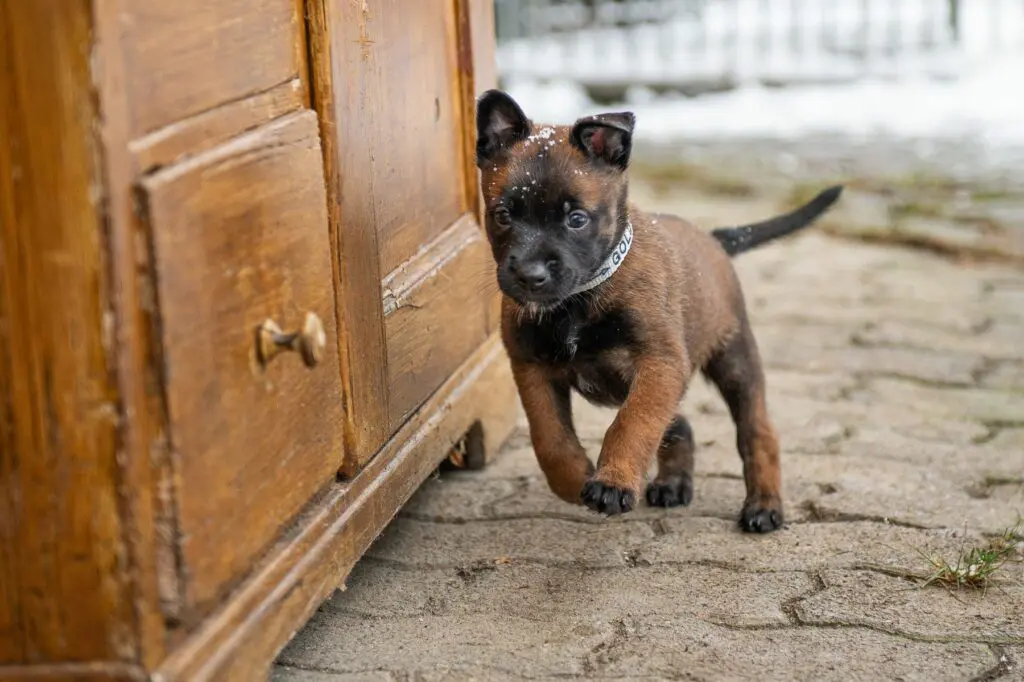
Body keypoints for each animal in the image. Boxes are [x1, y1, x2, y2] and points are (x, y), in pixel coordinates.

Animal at [475, 89, 843, 532]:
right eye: (502, 214)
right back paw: (673, 483)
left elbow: (634, 422)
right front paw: (574, 477)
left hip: (736, 361)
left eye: (576, 219)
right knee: (679, 424)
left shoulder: (659, 363)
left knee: (757, 432)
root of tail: (713, 239)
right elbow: (549, 437)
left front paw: (613, 481)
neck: (581, 300)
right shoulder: (532, 369)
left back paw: (764, 504)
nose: (529, 277)